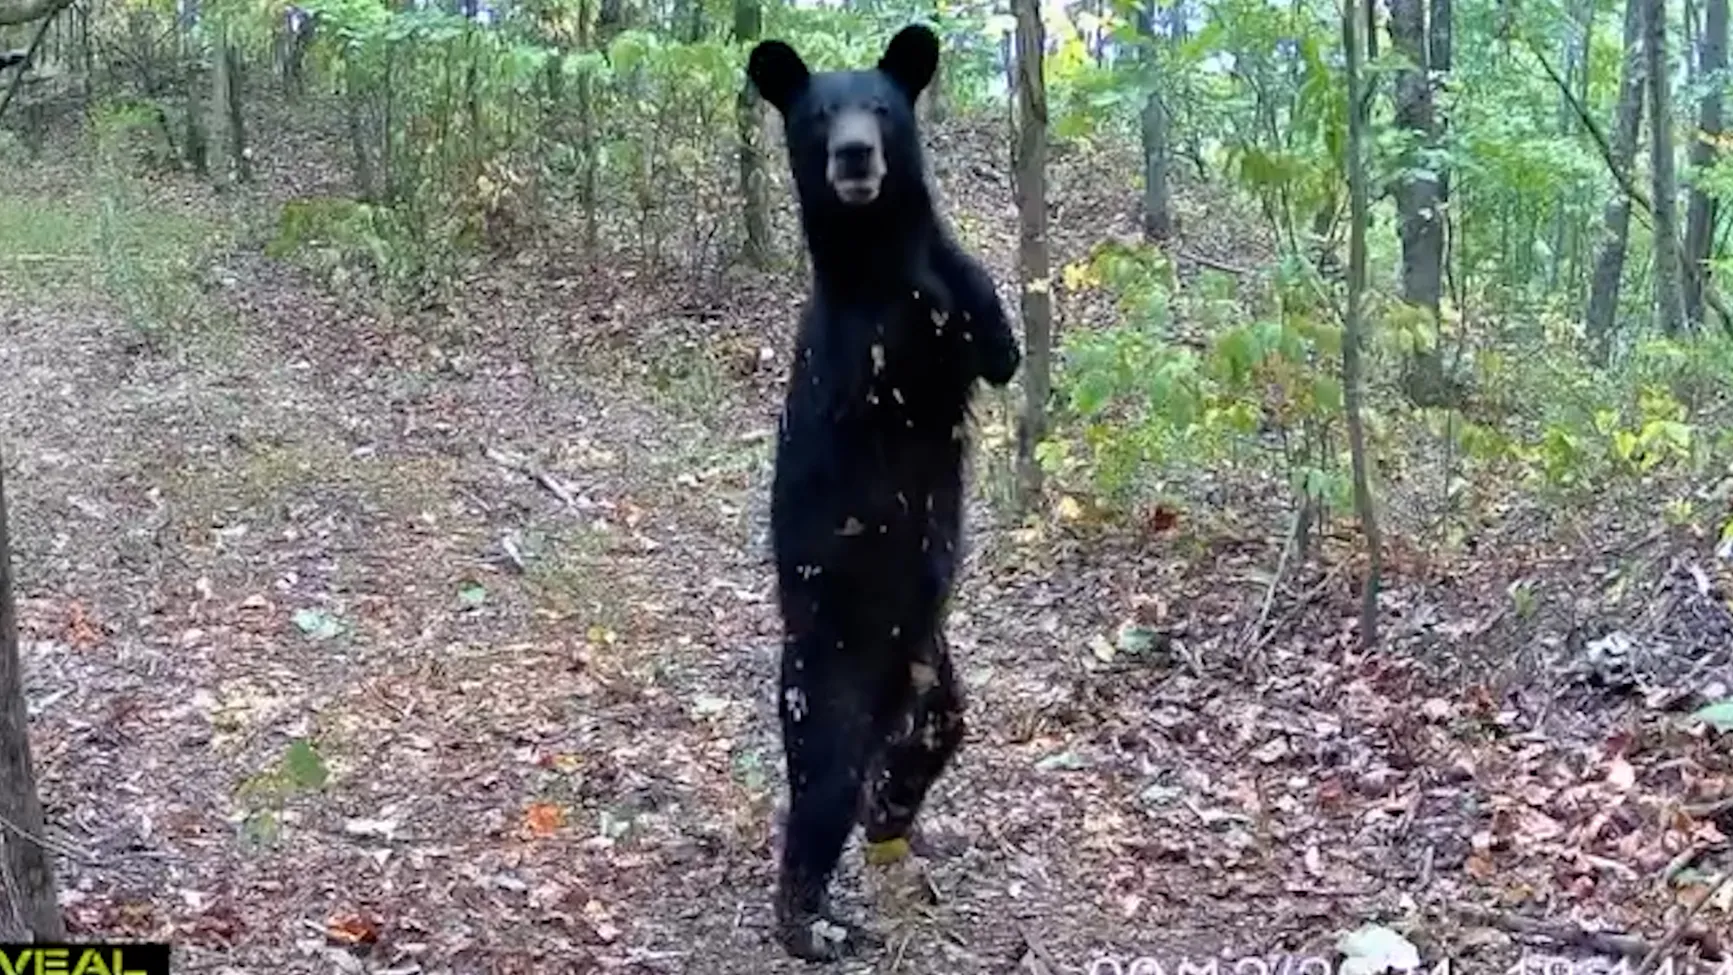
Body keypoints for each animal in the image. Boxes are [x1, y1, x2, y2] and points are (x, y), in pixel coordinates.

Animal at [752, 20, 1019, 962]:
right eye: (817, 115)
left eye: (881, 107)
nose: (855, 155)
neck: (875, 252)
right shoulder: (860, 347)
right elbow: (896, 359)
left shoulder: (961, 302)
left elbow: (994, 337)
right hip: (830, 669)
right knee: (821, 788)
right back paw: (813, 922)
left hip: (932, 668)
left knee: (927, 741)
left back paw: (895, 822)